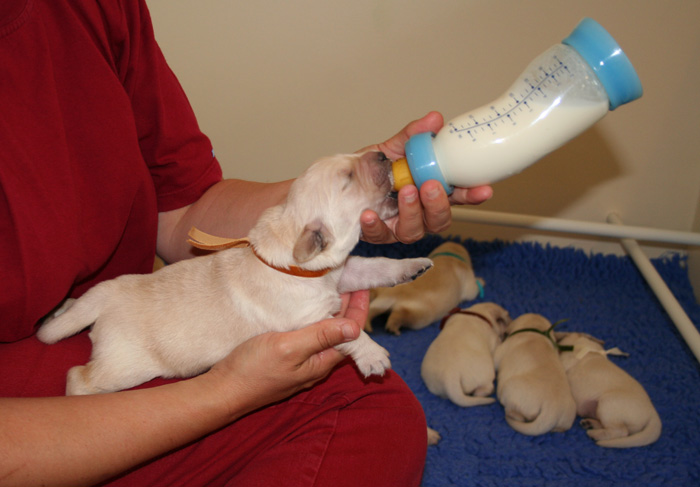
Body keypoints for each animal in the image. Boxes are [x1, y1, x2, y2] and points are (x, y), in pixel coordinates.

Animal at [37, 152, 433, 395]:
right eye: (349, 177)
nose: (381, 153)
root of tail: (105, 297)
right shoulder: (309, 318)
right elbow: (347, 332)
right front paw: (372, 353)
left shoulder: (341, 272)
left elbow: (374, 266)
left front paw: (414, 265)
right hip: (127, 364)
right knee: (80, 377)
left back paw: (63, 308)